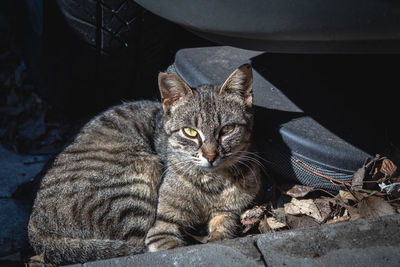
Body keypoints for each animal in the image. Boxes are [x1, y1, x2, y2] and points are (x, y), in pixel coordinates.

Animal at [27, 63, 260, 266]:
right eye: (190, 132)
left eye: (227, 129)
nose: (210, 156)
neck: (212, 183)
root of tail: (34, 224)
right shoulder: (162, 227)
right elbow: (173, 249)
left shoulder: (229, 212)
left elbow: (222, 231)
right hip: (136, 182)